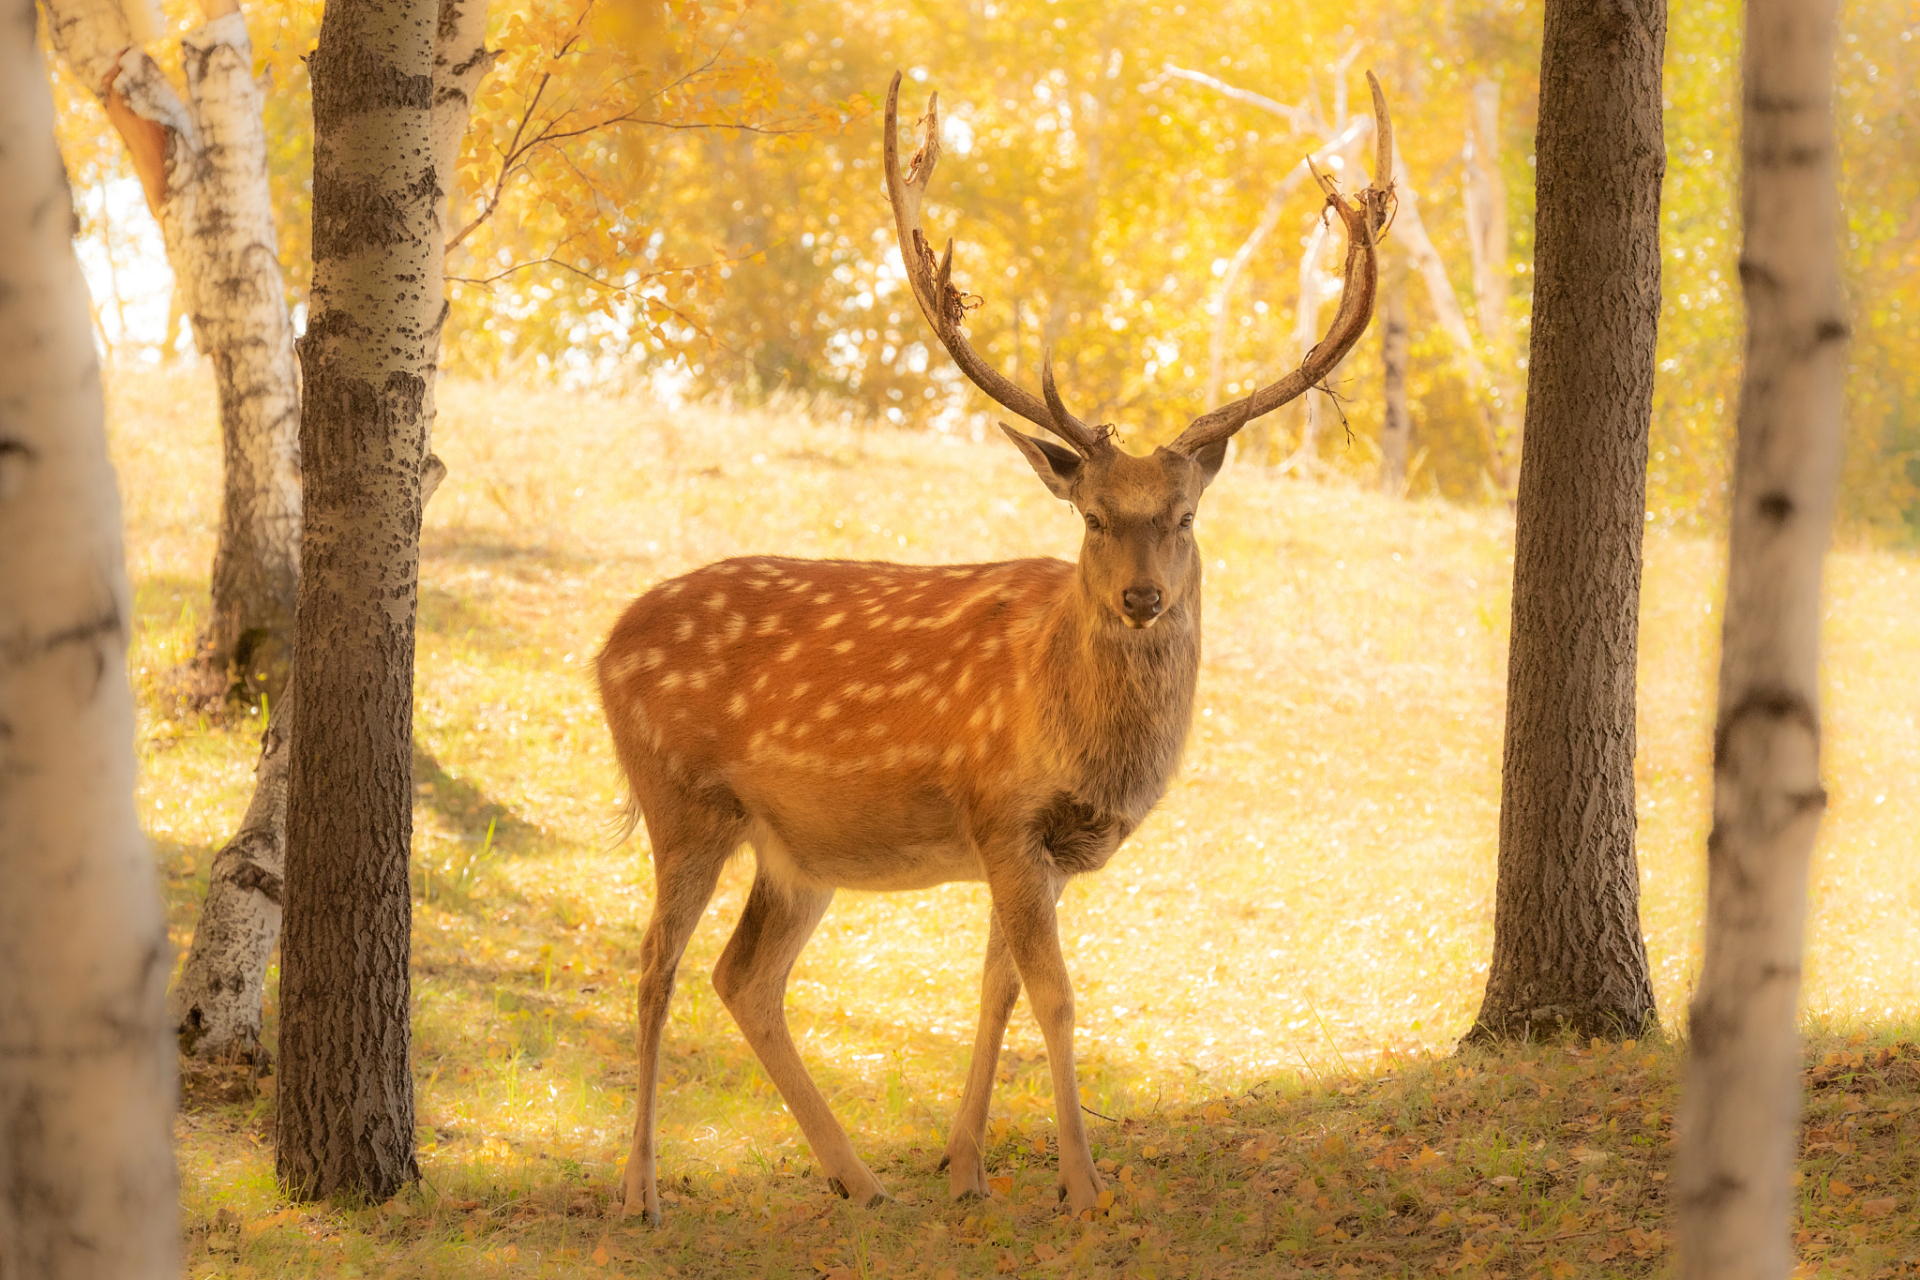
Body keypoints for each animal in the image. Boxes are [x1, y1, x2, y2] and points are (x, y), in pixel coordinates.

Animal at [597, 71, 1394, 1226]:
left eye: (1185, 515)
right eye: (1095, 515)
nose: (1144, 597)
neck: (1079, 733)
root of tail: (603, 644)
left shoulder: (1033, 844)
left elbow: (998, 987)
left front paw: (965, 1165)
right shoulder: (1001, 810)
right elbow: (1055, 995)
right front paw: (1084, 1181)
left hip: (795, 847)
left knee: (744, 975)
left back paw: (858, 1174)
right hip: (683, 795)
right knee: (656, 962)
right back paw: (642, 1188)